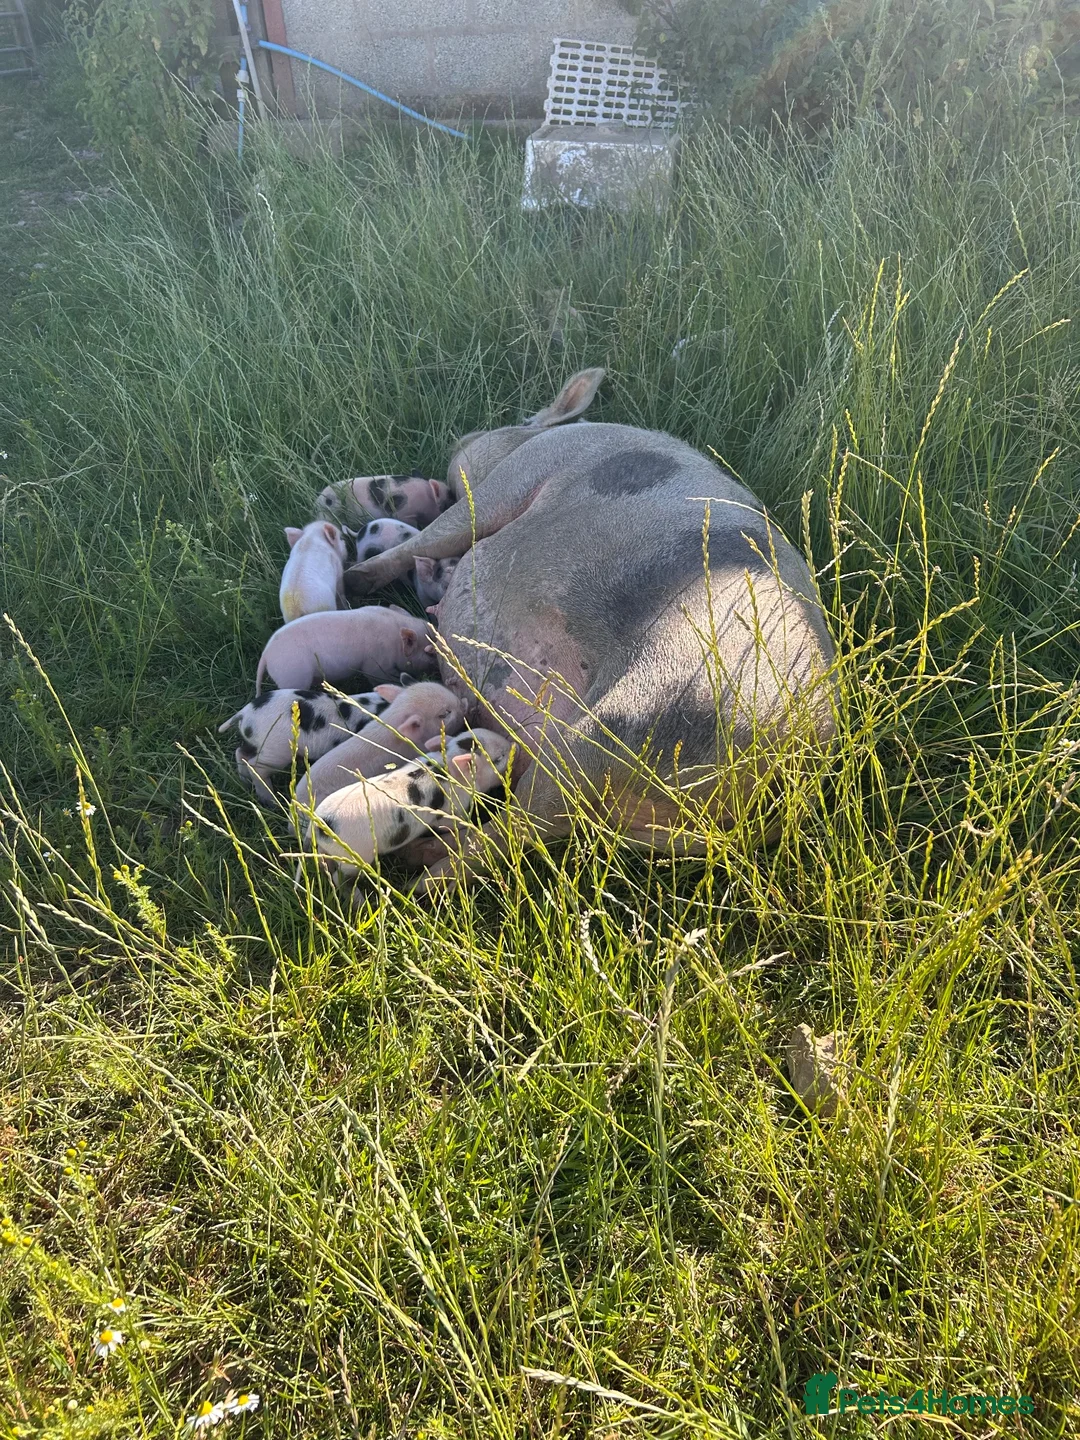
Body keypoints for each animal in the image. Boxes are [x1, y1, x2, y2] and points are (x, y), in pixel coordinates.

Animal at [219, 685, 400, 804]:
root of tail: (245, 713)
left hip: (256, 743)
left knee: (240, 753)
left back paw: (245, 782)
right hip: (276, 751)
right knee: (255, 766)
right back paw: (271, 801)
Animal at [300, 728, 512, 883]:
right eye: (499, 758)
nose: (513, 746)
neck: (449, 769)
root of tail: (319, 825)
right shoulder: (450, 810)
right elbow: (450, 825)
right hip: (354, 856)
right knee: (341, 877)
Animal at [340, 368, 837, 895]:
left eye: (520, 417)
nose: (463, 439)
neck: (535, 436)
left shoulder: (516, 476)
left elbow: (438, 533)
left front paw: (355, 578)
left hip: (621, 721)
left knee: (517, 827)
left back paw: (413, 885)